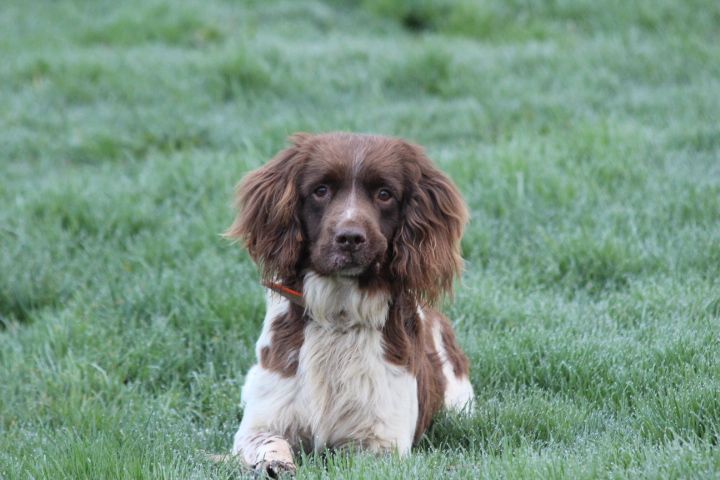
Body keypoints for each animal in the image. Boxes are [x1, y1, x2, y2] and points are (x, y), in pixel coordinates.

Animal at [225, 132, 472, 476]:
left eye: (384, 194)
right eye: (321, 190)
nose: (350, 237)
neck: (338, 315)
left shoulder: (382, 442)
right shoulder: (262, 422)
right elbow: (268, 445)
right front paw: (276, 464)